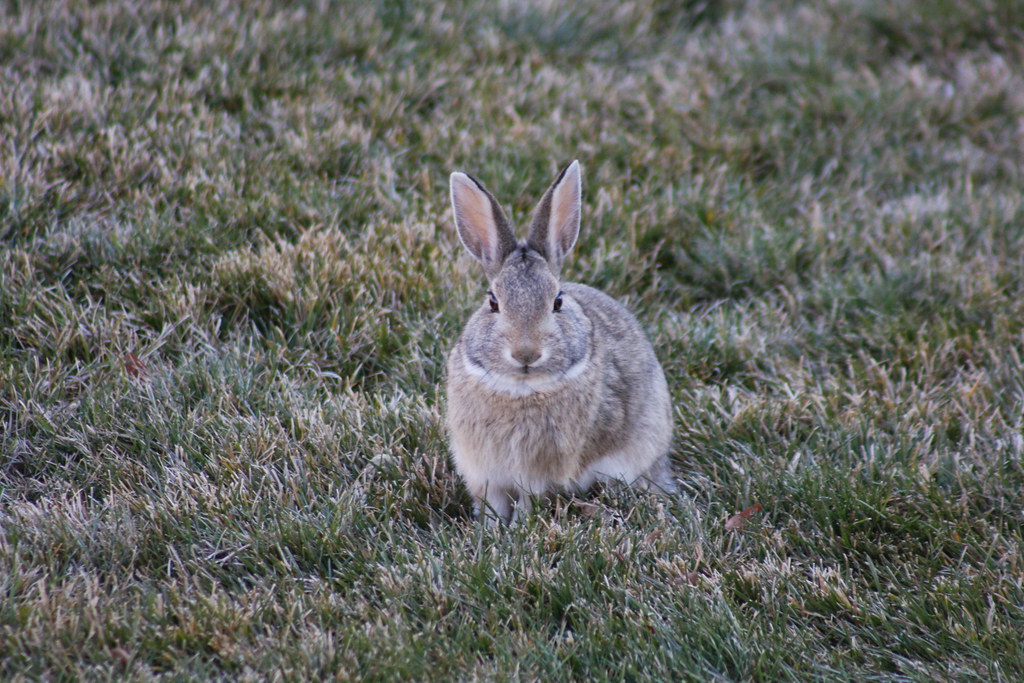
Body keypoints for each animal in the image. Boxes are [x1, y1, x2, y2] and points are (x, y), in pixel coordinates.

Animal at [445, 160, 676, 524]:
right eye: (493, 302)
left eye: (557, 302)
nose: (526, 353)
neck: (521, 389)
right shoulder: (484, 472)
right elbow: (491, 504)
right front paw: (489, 530)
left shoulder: (535, 475)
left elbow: (527, 502)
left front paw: (515, 529)